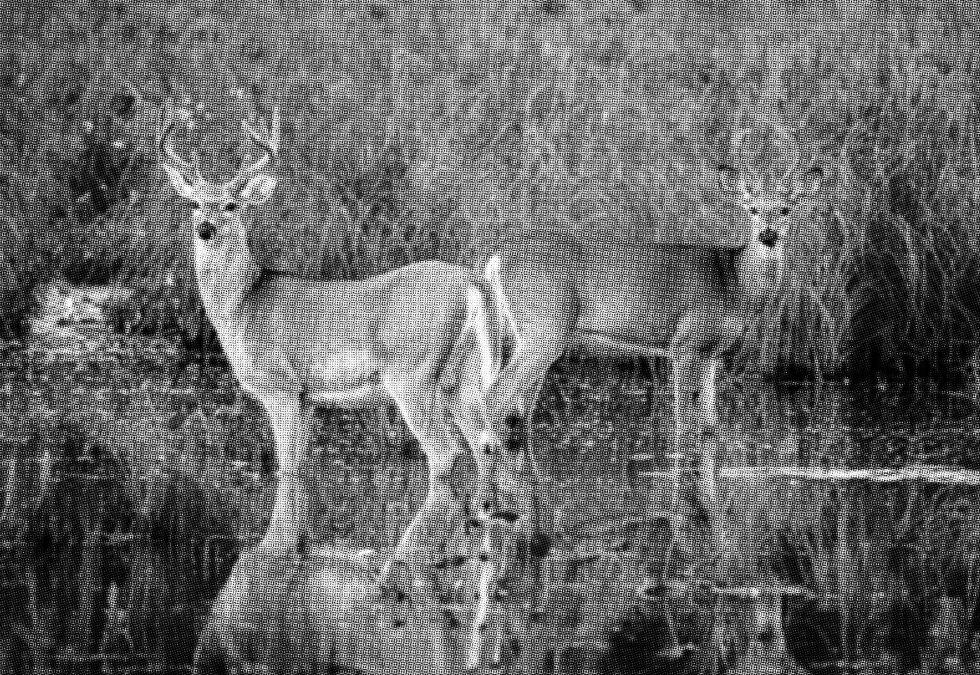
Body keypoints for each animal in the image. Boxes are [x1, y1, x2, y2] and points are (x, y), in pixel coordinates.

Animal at [157, 101, 526, 674]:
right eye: (195, 200)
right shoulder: (310, 397)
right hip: (466, 378)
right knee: (487, 443)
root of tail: (474, 282)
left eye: (233, 203)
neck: (242, 307)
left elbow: (288, 470)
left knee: (446, 455)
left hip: (411, 374)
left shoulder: (282, 387)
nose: (205, 228)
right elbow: (302, 473)